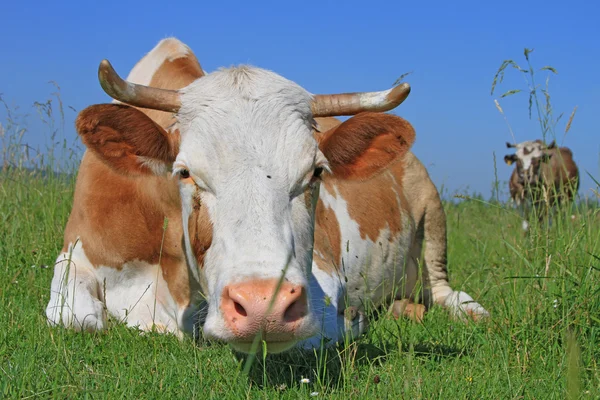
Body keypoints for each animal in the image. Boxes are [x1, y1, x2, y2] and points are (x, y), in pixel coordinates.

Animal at [47, 37, 488, 354]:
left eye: (316, 172)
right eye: (185, 172)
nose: (264, 305)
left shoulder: (321, 279)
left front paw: (354, 320)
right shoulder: (77, 252)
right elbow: (75, 319)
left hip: (432, 210)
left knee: (443, 288)